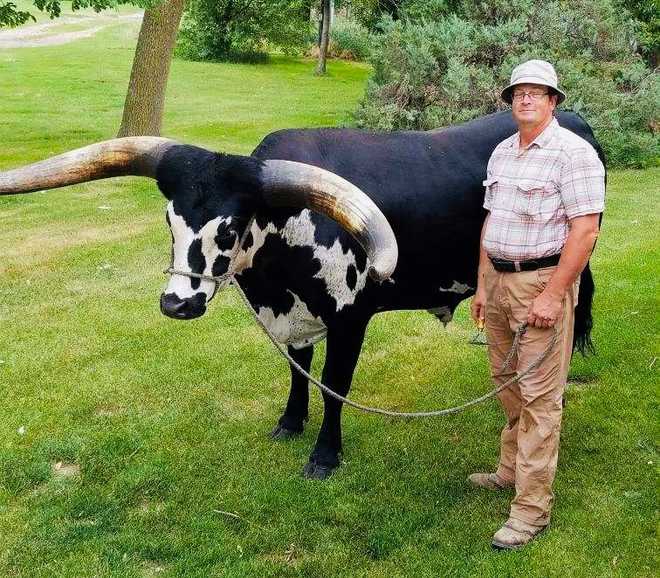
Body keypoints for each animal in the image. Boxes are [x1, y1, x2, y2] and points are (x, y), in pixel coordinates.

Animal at [0, 109, 604, 476]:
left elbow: (334, 385)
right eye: (169, 220)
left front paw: (325, 454)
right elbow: (298, 373)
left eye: (229, 227)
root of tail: (573, 118)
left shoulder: (351, 318)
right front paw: (289, 424)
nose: (177, 304)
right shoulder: (290, 316)